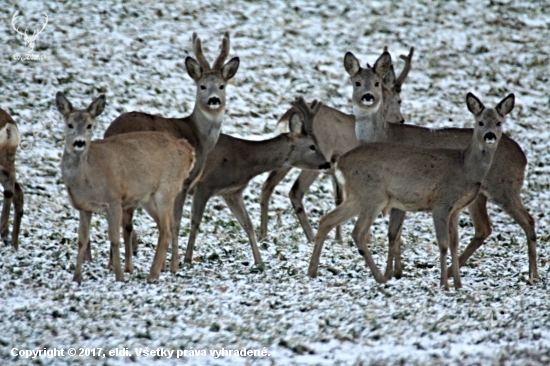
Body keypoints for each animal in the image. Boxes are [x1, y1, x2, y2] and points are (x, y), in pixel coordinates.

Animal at [57, 92, 196, 284]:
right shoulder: (84, 207)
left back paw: (153, 275)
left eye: (89, 125)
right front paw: (77, 278)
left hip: (166, 190)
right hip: (149, 198)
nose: (79, 142)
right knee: (165, 227)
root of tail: (188, 150)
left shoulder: (114, 200)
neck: (88, 176)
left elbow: (115, 238)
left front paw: (120, 276)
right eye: (69, 124)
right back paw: (162, 270)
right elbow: (82, 240)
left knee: (167, 230)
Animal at [185, 97, 332, 266]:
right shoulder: (205, 184)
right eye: (312, 146)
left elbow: (247, 224)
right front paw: (187, 259)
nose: (327, 163)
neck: (242, 160)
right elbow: (195, 221)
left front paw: (259, 261)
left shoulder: (232, 192)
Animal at [258, 48, 414, 243]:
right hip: (315, 158)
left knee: (267, 185)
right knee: (295, 191)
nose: (401, 119)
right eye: (399, 100)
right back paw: (310, 237)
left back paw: (263, 235)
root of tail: (288, 116)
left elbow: (338, 200)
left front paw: (339, 238)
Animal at [308, 92, 516, 292]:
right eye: (480, 122)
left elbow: (455, 244)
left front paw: (458, 284)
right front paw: (444, 284)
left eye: (498, 122)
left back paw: (312, 271)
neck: (465, 167)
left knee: (326, 220)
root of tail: (340, 163)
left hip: (357, 197)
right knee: (357, 233)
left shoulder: (456, 209)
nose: (490, 135)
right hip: (373, 195)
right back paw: (381, 278)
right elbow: (443, 244)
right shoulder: (440, 203)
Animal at [344, 50, 540, 282]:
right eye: (356, 82)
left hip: (504, 187)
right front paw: (396, 271)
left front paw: (391, 273)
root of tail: (523, 157)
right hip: (479, 195)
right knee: (484, 228)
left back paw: (533, 275)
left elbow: (393, 233)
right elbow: (396, 233)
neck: (384, 135)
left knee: (527, 220)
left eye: (376, 83)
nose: (368, 97)